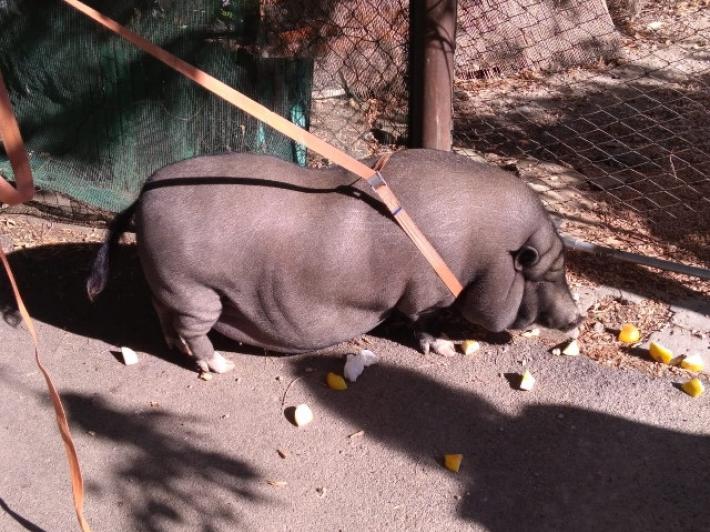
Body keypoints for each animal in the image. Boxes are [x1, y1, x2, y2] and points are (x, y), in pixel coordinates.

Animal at [87, 149, 581, 373]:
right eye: (548, 273)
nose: (577, 317)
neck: (486, 251)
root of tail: (142, 195)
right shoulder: (426, 293)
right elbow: (423, 321)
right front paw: (440, 347)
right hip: (194, 288)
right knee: (194, 328)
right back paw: (220, 366)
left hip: (169, 285)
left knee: (165, 316)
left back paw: (177, 349)